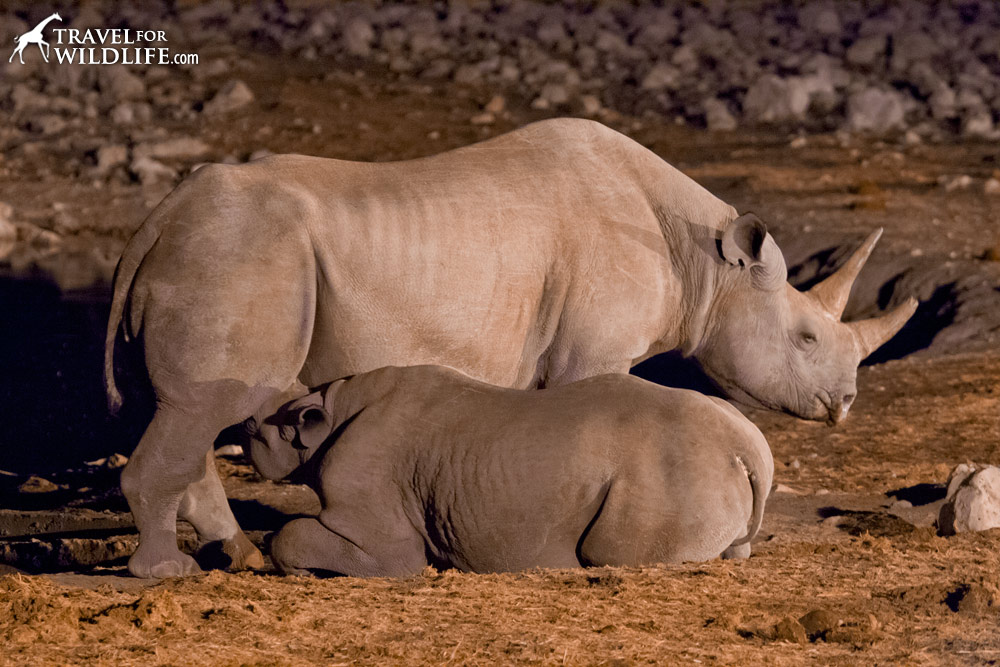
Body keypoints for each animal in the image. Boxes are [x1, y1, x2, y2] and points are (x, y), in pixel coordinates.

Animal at [246, 366, 776, 580]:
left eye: (259, 429)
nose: (245, 424)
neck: (331, 407)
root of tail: (743, 447)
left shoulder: (373, 520)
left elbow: (291, 535)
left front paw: (295, 566)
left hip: (673, 469)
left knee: (609, 552)